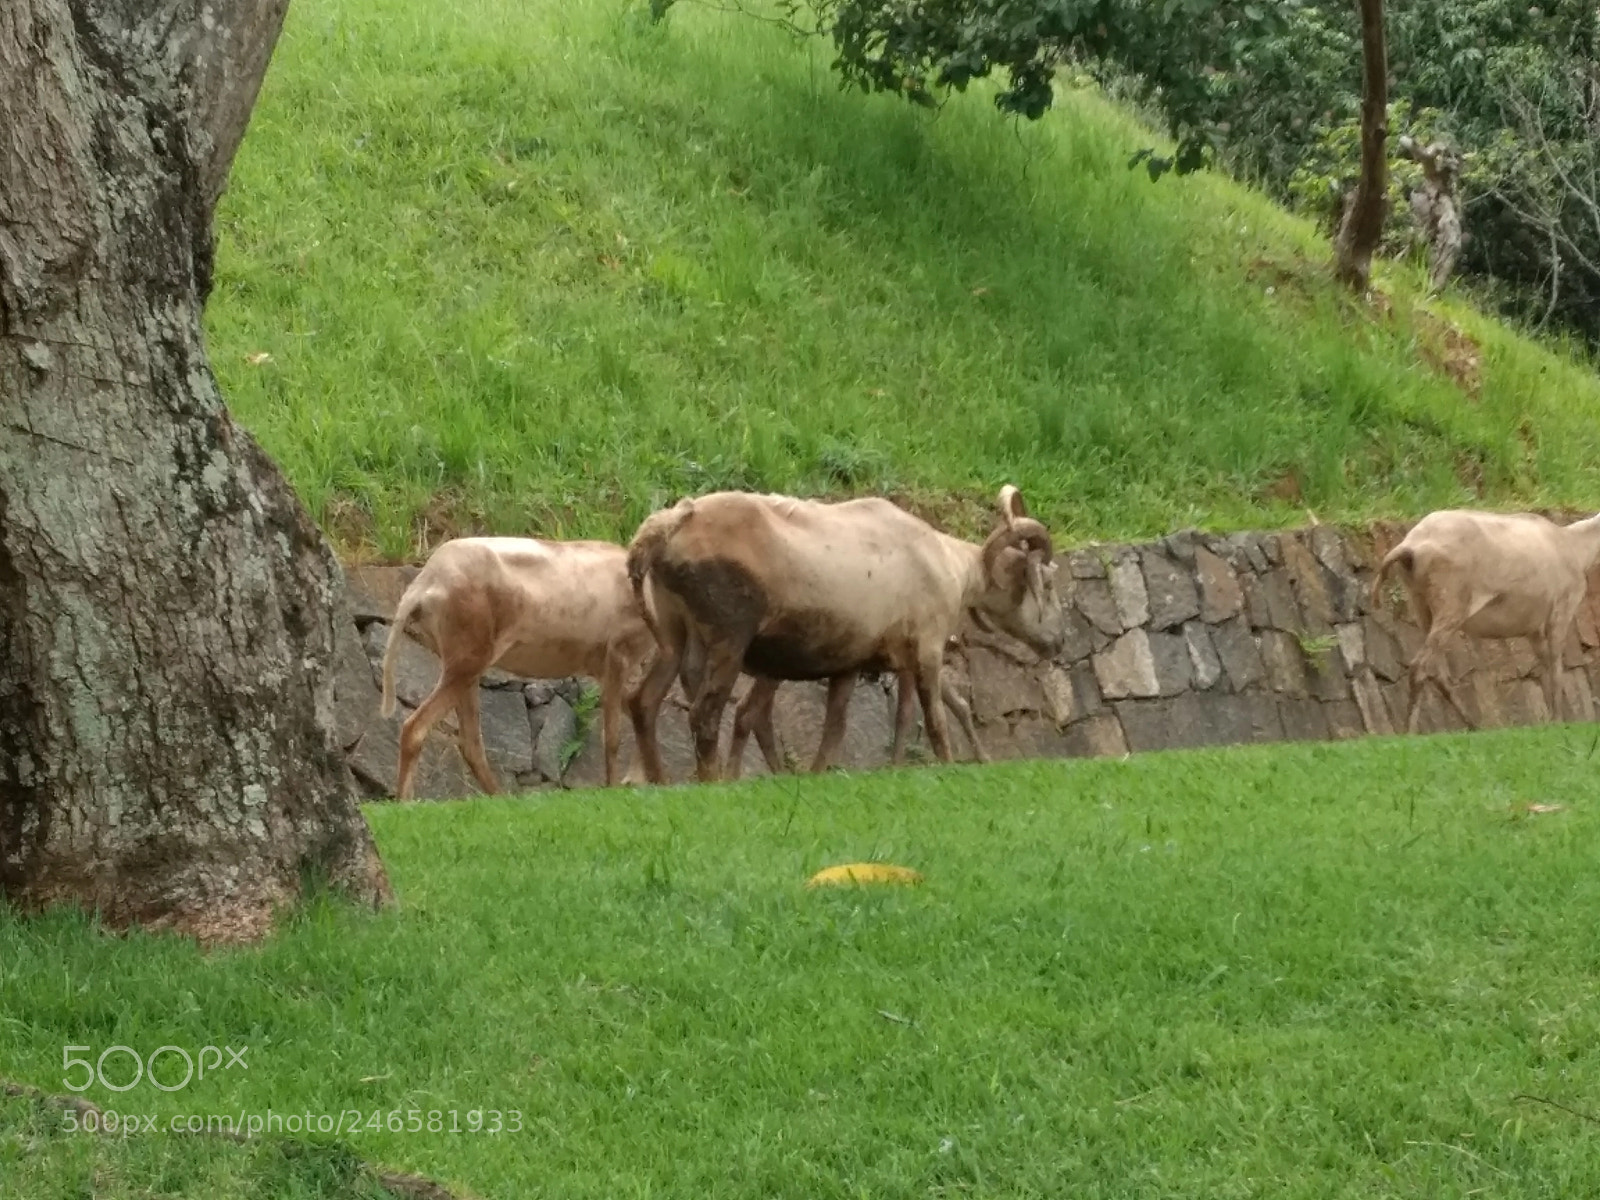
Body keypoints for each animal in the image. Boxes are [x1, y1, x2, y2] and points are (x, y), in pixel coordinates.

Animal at [380, 537, 659, 798]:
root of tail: (426, 581)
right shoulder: (618, 660)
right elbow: (612, 737)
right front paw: (615, 788)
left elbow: (639, 712)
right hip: (467, 663)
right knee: (415, 728)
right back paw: (406, 801)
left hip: (465, 670)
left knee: (470, 743)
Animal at [1369, 508, 1600, 732]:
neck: (1577, 547)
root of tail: (1410, 545)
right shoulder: (1563, 607)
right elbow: (1556, 667)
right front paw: (1559, 721)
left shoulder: (1533, 628)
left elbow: (1545, 666)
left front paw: (1551, 719)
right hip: (1451, 603)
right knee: (1419, 667)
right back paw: (1409, 732)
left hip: (1421, 606)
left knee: (1437, 673)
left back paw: (1474, 725)